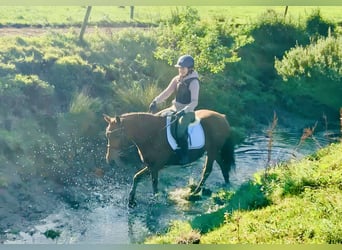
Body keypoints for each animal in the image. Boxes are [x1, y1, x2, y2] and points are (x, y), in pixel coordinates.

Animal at [103, 109, 234, 207]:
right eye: (107, 135)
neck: (151, 134)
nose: (110, 160)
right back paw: (226, 184)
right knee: (222, 165)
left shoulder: (157, 166)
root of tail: (222, 117)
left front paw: (155, 200)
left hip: (212, 151)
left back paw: (193, 193)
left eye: (117, 135)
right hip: (215, 151)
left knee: (207, 171)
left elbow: (154, 184)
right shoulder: (150, 165)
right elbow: (136, 177)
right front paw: (131, 200)